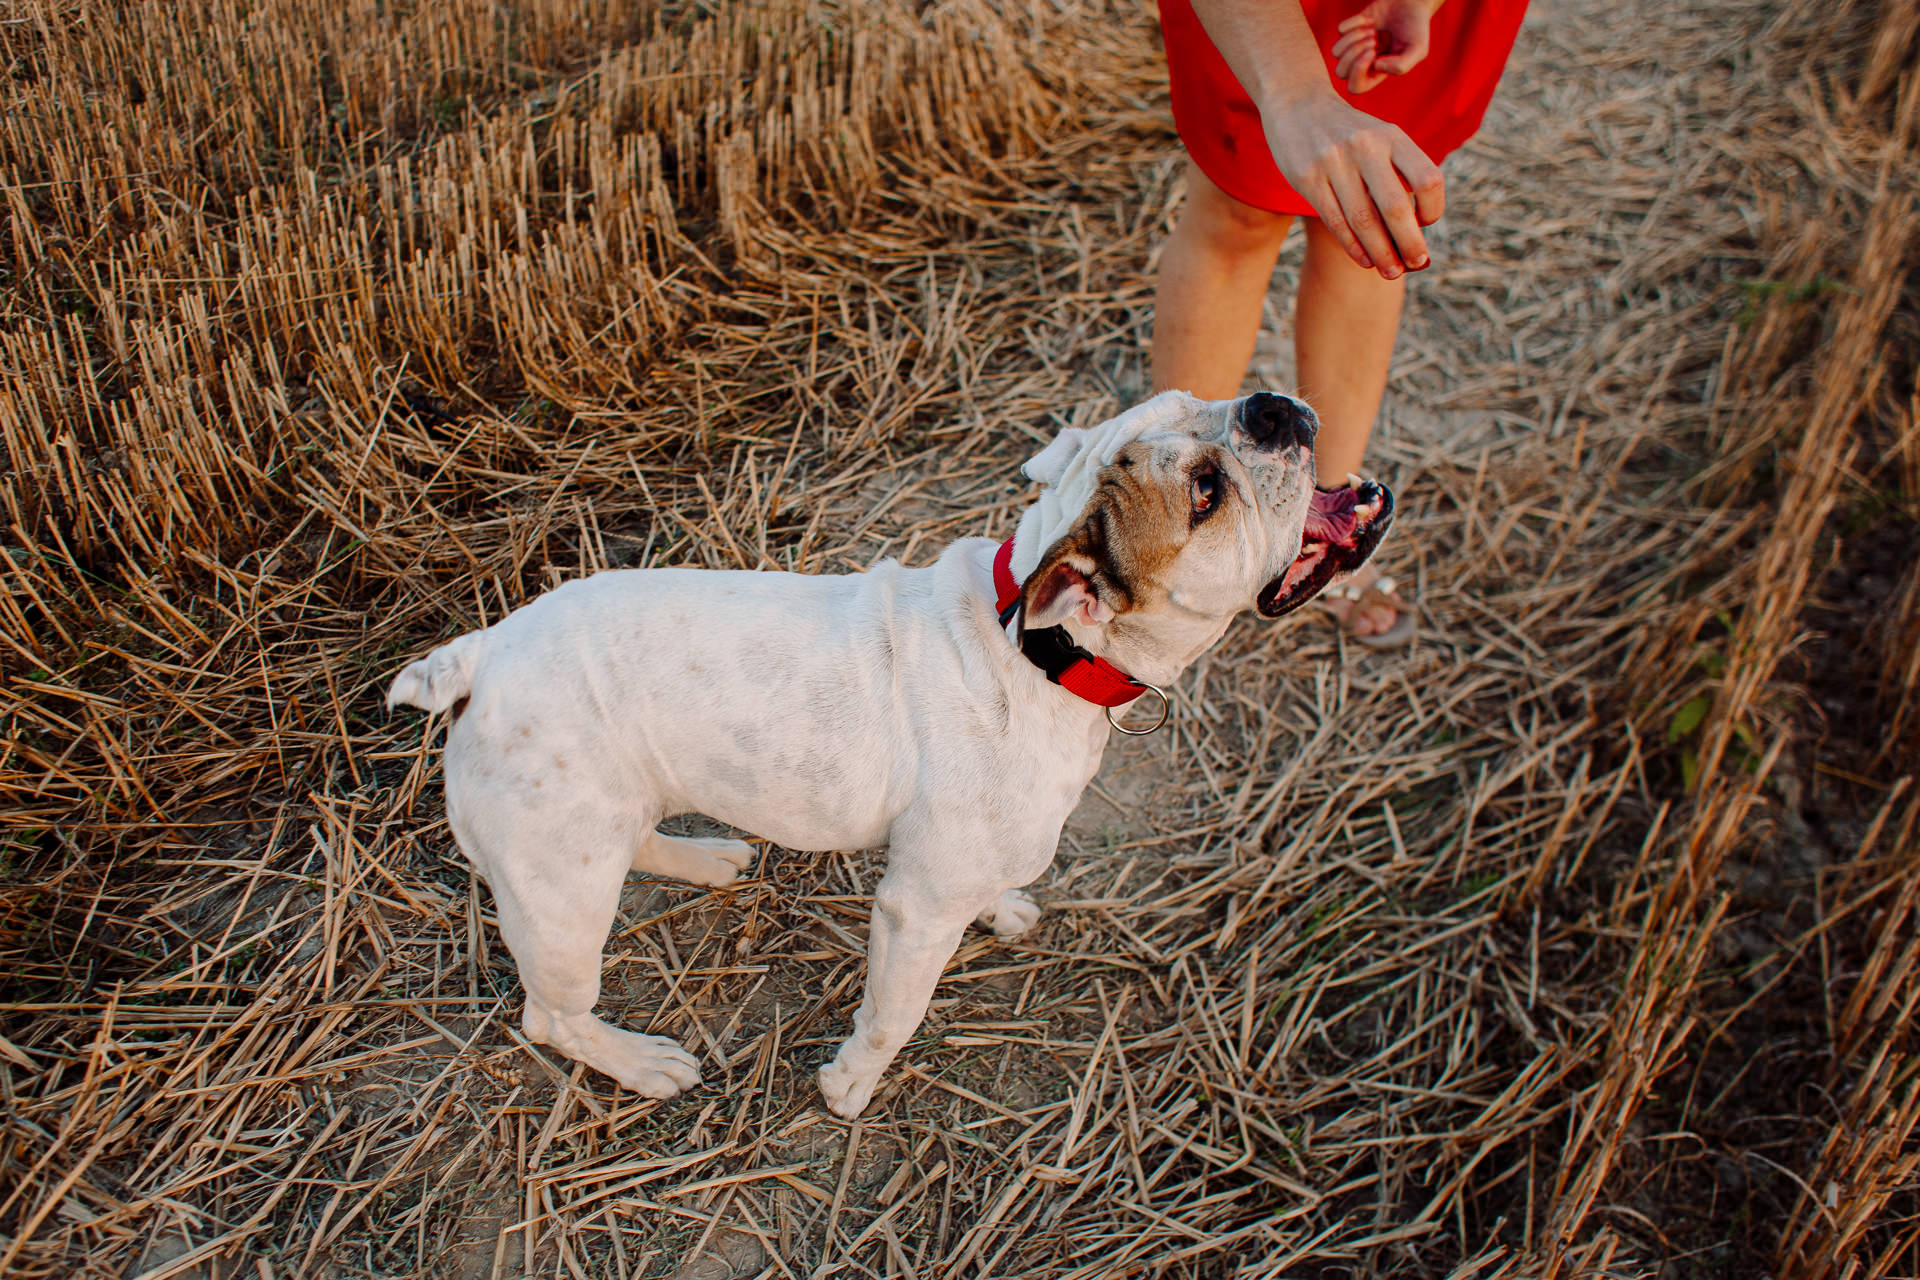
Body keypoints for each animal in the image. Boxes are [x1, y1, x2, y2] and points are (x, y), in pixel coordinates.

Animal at [382, 393, 1390, 1120]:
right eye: (1206, 492)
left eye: (1209, 399)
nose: (1269, 405)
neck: (1041, 646)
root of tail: (483, 653)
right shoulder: (915, 910)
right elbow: (896, 1013)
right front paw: (851, 1083)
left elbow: (993, 889)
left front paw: (1005, 908)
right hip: (563, 894)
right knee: (552, 1013)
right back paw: (639, 1062)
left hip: (597, 827)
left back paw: (707, 858)